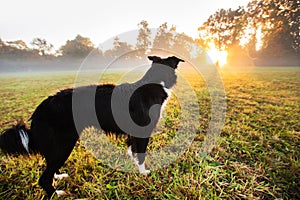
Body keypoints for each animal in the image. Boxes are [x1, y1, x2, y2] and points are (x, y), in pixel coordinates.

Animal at [0, 55, 184, 197]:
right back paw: (56, 193)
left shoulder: (133, 133)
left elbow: (132, 150)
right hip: (64, 144)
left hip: (57, 146)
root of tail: (39, 109)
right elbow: (141, 154)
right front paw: (143, 172)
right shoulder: (142, 132)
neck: (156, 82)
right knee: (44, 177)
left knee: (50, 166)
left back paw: (58, 176)